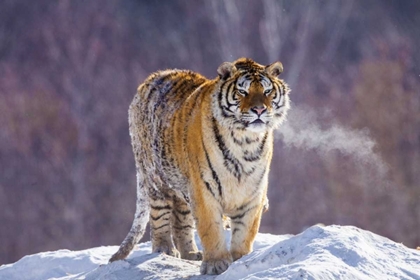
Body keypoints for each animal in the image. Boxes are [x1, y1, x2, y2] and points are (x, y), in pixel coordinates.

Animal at [108, 57, 290, 276]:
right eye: (243, 91)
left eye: (267, 91)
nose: (259, 110)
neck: (245, 142)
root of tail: (149, 80)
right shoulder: (204, 188)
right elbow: (210, 228)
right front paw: (216, 264)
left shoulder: (253, 192)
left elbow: (245, 231)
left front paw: (240, 259)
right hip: (156, 181)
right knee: (159, 218)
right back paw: (165, 251)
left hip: (182, 188)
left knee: (181, 221)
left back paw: (191, 253)